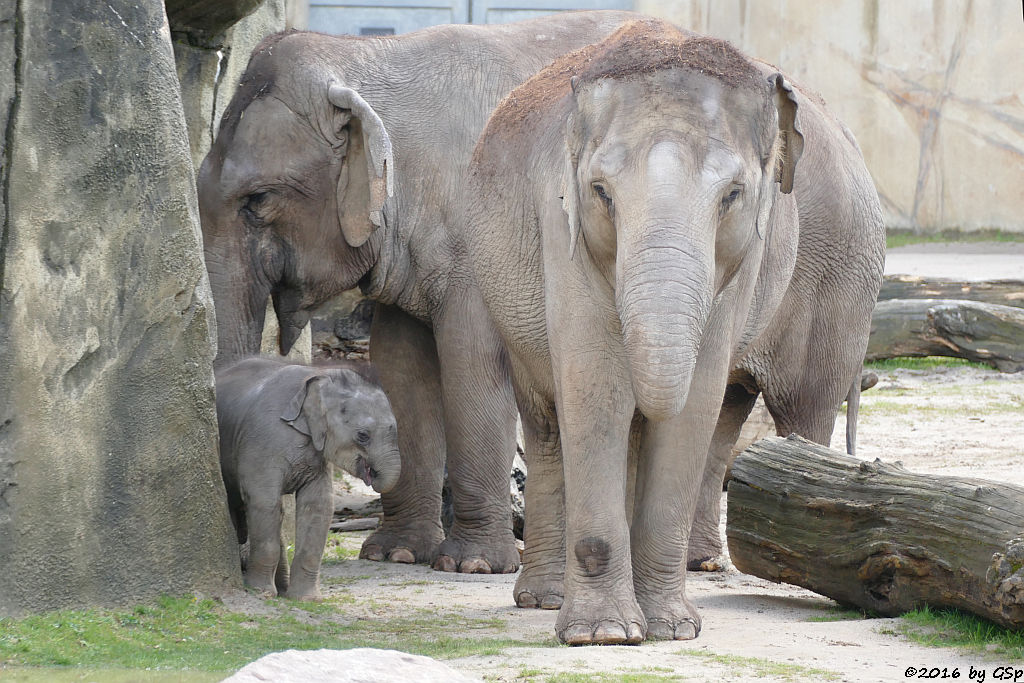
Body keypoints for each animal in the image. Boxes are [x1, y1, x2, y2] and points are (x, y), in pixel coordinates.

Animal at [216, 358, 399, 598]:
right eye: (363, 435)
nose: (372, 475)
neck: (319, 374)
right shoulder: (261, 443)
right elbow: (263, 501)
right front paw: (261, 593)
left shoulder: (317, 454)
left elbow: (318, 506)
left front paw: (307, 599)